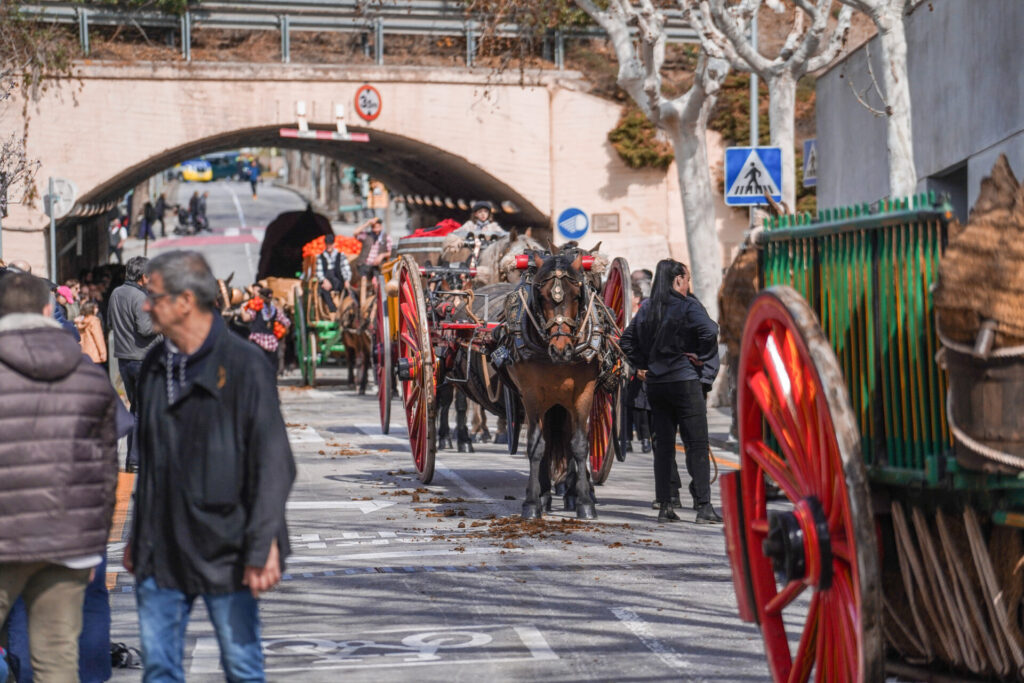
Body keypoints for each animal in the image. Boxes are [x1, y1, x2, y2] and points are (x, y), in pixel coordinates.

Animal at [501, 248, 598, 520]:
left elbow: (579, 445)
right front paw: (532, 502)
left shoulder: (584, 393)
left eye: (576, 295)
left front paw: (585, 502)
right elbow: (536, 446)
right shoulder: (532, 395)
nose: (561, 349)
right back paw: (543, 494)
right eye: (542, 296)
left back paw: (572, 493)